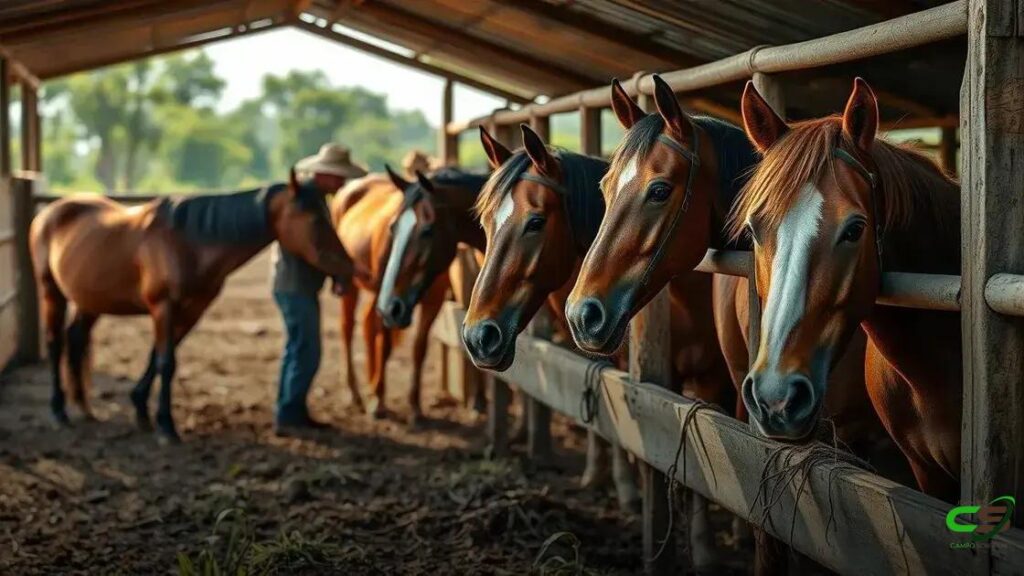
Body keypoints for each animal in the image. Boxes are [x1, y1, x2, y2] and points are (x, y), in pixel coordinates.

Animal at [30, 169, 355, 444]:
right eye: (315, 220)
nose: (347, 267)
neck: (187, 242)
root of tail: (48, 213)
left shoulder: (191, 311)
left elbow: (158, 357)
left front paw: (141, 409)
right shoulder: (163, 307)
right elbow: (166, 362)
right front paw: (165, 426)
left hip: (91, 301)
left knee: (75, 339)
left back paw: (84, 408)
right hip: (52, 293)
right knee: (56, 343)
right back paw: (59, 411)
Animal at [331, 167, 487, 423]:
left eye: (427, 230)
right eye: (393, 228)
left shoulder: (431, 301)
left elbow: (418, 349)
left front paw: (414, 406)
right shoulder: (387, 300)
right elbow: (384, 346)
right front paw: (378, 400)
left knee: (367, 324)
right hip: (353, 287)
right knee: (347, 329)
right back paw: (355, 393)